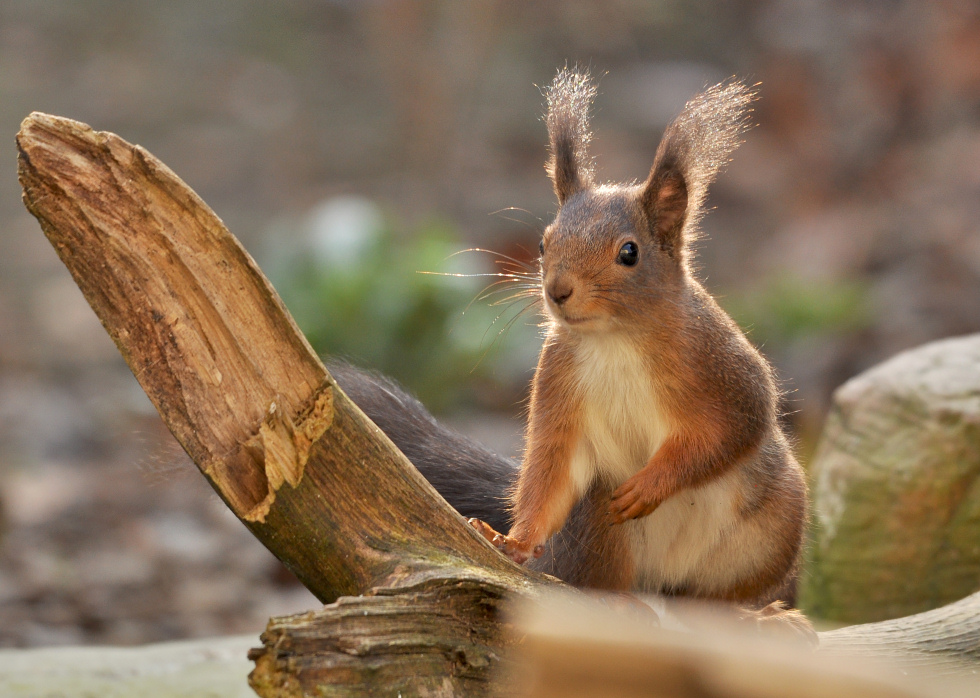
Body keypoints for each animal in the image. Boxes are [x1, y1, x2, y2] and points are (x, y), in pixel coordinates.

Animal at [334, 69, 808, 620]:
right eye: (543, 243)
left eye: (630, 252)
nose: (557, 290)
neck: (614, 338)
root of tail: (664, 586)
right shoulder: (558, 379)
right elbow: (552, 469)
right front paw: (513, 541)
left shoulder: (722, 368)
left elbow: (729, 431)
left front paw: (650, 483)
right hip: (598, 525)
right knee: (602, 572)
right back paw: (621, 603)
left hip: (773, 524)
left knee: (719, 598)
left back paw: (759, 615)